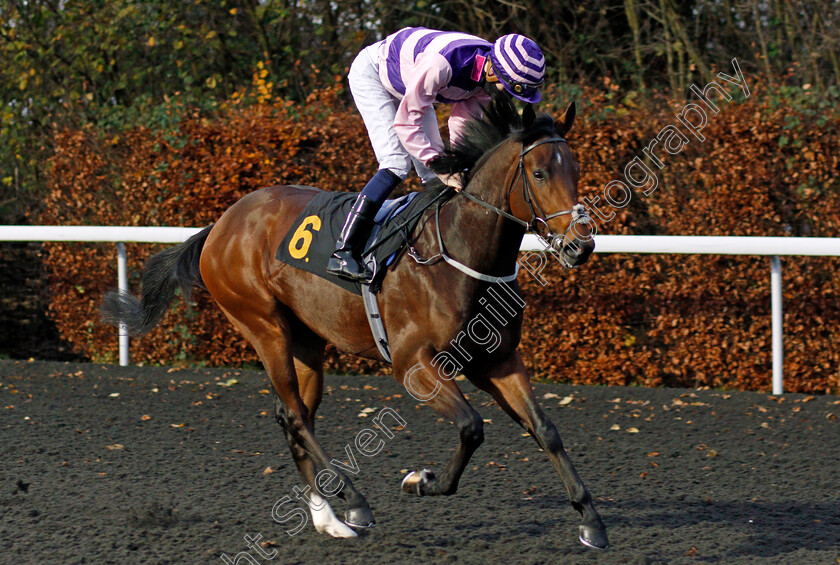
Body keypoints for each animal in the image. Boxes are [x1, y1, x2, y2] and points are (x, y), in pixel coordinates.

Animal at [101, 94, 608, 548]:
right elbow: (471, 427)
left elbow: (546, 430)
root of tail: (220, 225)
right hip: (262, 324)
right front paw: (420, 480)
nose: (580, 245)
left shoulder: (497, 360)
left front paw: (592, 523)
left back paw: (329, 518)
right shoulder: (414, 364)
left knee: (294, 415)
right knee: (295, 415)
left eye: (576, 169)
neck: (460, 254)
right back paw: (355, 502)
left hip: (306, 340)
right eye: (539, 172)